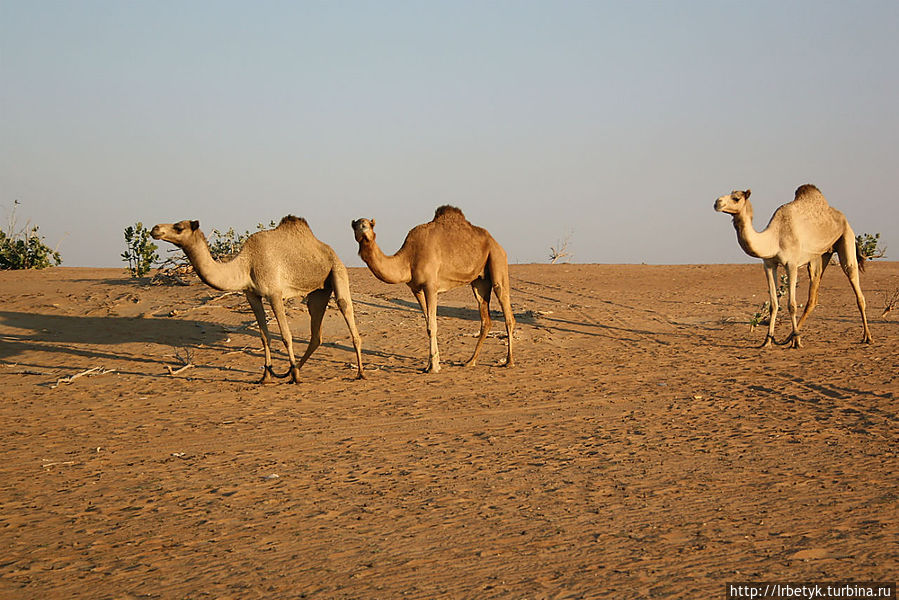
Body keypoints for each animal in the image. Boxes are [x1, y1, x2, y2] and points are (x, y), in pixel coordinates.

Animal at [152, 218, 366, 382]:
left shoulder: (274, 293)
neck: (247, 263)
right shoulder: (252, 295)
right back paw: (296, 369)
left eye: (179, 227)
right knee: (316, 332)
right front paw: (266, 376)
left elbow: (286, 335)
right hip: (318, 292)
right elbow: (264, 337)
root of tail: (328, 249)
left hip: (338, 272)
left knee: (345, 309)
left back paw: (359, 373)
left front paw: (293, 376)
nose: (155, 229)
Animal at [352, 209, 512, 372]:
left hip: (497, 259)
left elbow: (432, 326)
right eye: (355, 226)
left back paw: (509, 361)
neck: (408, 258)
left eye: (370, 224)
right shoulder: (416, 289)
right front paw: (431, 363)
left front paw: (434, 367)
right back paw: (470, 361)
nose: (363, 228)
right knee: (485, 318)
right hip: (479, 281)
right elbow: (428, 323)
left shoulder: (431, 286)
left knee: (507, 311)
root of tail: (496, 243)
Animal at [712, 185, 868, 350]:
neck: (773, 238)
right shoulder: (768, 265)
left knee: (854, 279)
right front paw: (768, 340)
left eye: (736, 198)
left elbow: (792, 305)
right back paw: (790, 337)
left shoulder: (791, 264)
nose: (717, 203)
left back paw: (867, 337)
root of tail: (841, 216)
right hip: (820, 255)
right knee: (813, 293)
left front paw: (797, 341)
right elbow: (773, 304)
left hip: (846, 237)